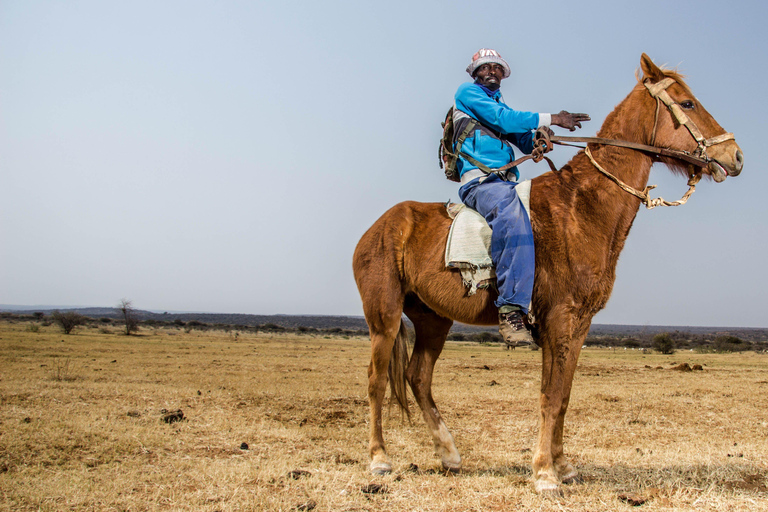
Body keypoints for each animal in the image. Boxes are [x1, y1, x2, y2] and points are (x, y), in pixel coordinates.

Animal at [352, 54, 743, 495]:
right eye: (688, 103)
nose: (735, 155)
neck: (581, 207)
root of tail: (378, 227)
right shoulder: (558, 318)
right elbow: (550, 396)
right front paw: (544, 473)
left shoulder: (580, 323)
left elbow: (565, 395)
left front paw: (564, 466)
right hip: (384, 317)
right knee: (376, 380)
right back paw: (380, 459)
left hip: (433, 319)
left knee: (418, 378)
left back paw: (449, 455)